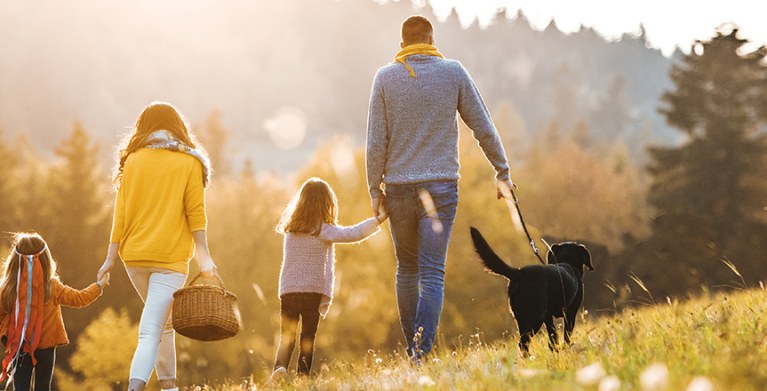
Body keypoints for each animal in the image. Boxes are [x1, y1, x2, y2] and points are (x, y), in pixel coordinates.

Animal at [468, 227, 592, 356]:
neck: (568, 262)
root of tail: (519, 273)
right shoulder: (570, 313)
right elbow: (566, 336)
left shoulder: (548, 316)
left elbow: (553, 336)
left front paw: (555, 350)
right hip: (535, 317)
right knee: (523, 342)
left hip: (520, 317)